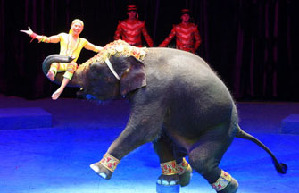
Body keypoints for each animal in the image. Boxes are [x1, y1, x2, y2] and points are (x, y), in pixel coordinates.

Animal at [42, 39, 288, 193]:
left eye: (95, 71)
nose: (69, 58)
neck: (139, 53)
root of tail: (238, 127)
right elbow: (154, 134)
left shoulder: (155, 91)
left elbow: (144, 128)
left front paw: (97, 171)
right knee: (168, 142)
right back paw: (175, 179)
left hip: (220, 128)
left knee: (200, 160)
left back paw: (231, 187)